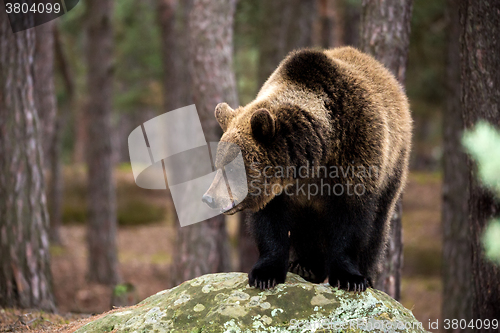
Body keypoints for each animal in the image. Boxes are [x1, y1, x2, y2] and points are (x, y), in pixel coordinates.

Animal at [201, 46, 412, 290]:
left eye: (233, 169)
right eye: (218, 165)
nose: (209, 198)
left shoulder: (357, 152)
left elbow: (351, 221)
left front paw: (350, 278)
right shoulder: (278, 191)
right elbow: (270, 225)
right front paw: (265, 274)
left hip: (394, 165)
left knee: (379, 222)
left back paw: (366, 273)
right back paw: (305, 266)